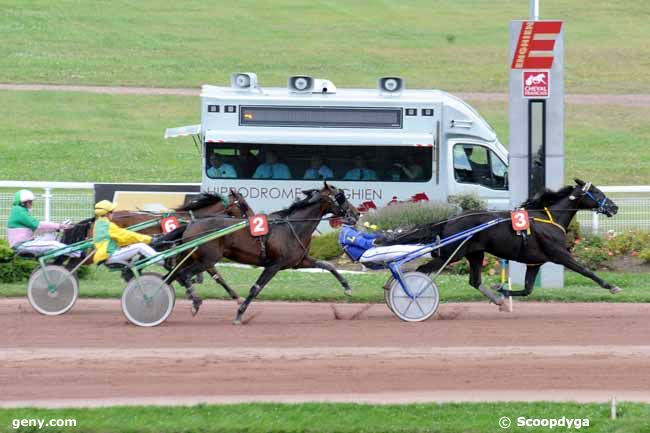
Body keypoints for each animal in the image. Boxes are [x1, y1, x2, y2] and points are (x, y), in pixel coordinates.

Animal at [167, 182, 360, 324]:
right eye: (341, 197)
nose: (356, 213)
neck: (292, 227)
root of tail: (191, 224)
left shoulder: (299, 262)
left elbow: (328, 265)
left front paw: (347, 287)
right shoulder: (275, 265)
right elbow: (256, 288)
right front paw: (239, 314)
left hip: (191, 258)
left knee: (173, 276)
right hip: (207, 260)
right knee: (183, 275)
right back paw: (195, 302)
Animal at [384, 178, 616, 304]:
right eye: (596, 192)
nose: (614, 207)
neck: (550, 219)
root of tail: (449, 221)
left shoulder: (535, 262)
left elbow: (527, 289)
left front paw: (502, 290)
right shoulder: (559, 254)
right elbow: (586, 270)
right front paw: (611, 286)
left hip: (475, 253)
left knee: (474, 280)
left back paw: (497, 300)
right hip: (450, 254)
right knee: (421, 270)